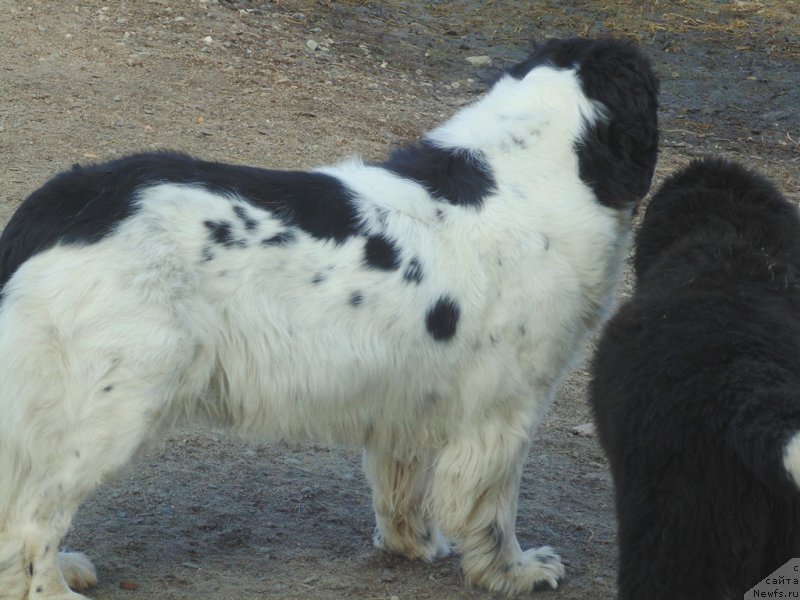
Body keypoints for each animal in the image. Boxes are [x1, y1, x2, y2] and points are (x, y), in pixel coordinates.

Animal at [0, 38, 660, 600]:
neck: (529, 174)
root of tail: (53, 211)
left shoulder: (409, 394)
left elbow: (401, 485)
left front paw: (414, 547)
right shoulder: (505, 409)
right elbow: (492, 508)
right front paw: (516, 572)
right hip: (108, 409)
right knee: (32, 521)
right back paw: (54, 588)